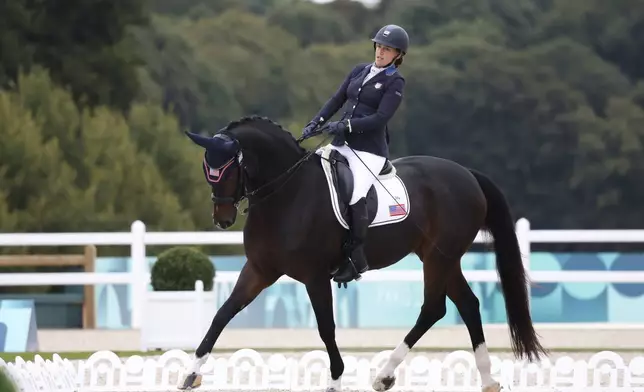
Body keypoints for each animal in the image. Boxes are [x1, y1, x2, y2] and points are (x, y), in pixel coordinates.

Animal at [179, 115, 544, 390]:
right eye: (207, 170)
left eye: (228, 169)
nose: (222, 219)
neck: (287, 193)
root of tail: (467, 174)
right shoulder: (259, 270)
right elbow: (223, 313)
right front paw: (191, 373)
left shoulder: (314, 276)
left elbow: (326, 328)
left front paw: (335, 381)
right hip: (441, 257)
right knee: (466, 305)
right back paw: (486, 380)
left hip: (440, 258)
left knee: (433, 308)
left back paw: (384, 375)